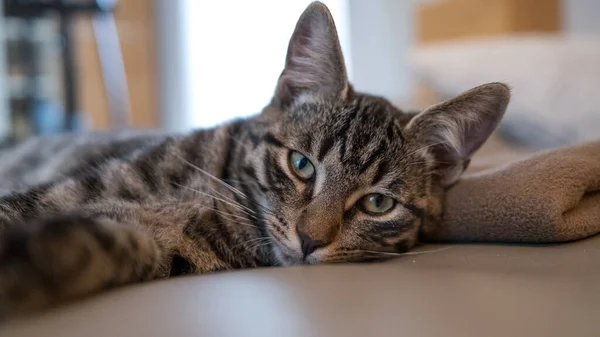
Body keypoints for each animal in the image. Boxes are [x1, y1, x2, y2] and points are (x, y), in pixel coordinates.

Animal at [0, 1, 510, 316]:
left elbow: (93, 246)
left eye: (378, 203)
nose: (309, 240)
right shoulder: (68, 192)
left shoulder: (142, 241)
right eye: (301, 165)